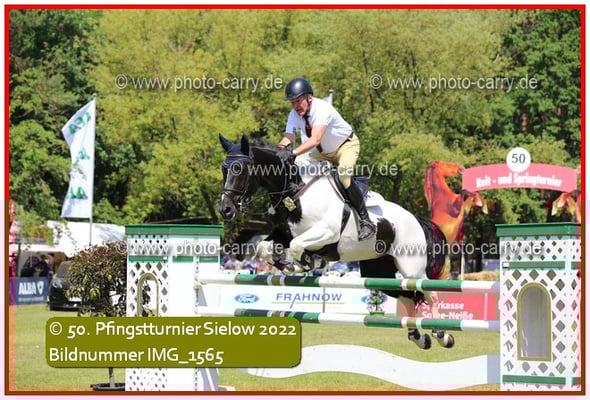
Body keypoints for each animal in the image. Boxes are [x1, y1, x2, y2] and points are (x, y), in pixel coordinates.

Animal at [219, 134, 453, 349]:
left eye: (239, 169)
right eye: (224, 169)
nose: (225, 210)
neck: (294, 190)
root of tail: (416, 219)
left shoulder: (327, 232)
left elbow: (297, 246)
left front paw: (305, 263)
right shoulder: (283, 234)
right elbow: (264, 247)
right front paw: (287, 265)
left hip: (411, 268)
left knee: (428, 293)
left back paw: (442, 334)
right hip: (380, 271)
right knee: (407, 295)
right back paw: (419, 337)